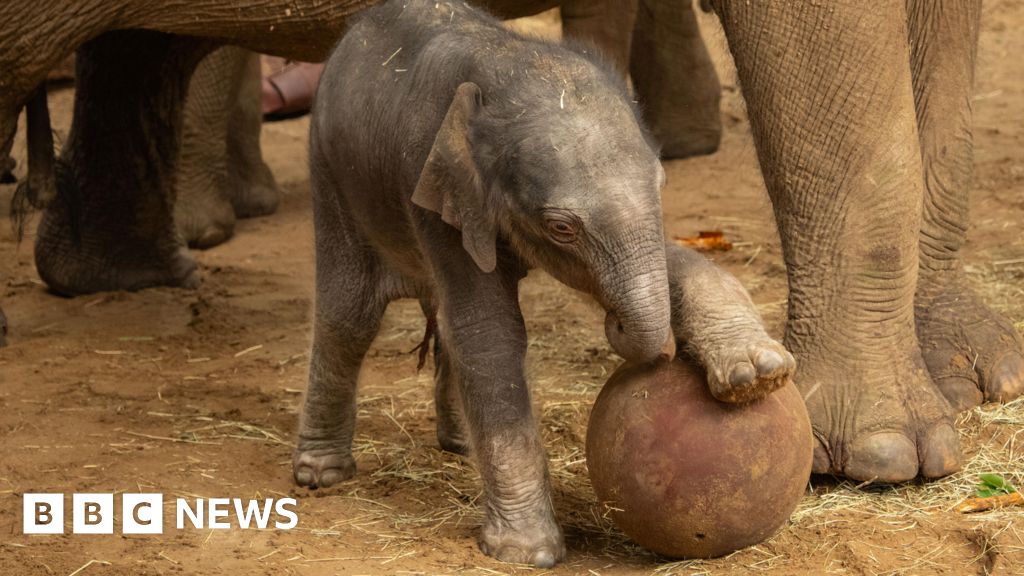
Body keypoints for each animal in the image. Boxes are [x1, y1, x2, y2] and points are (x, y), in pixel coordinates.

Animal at [295, 2, 794, 566]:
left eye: (663, 185)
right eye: (560, 227)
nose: (656, 349)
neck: (509, 63)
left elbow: (671, 259)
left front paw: (760, 374)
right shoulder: (431, 179)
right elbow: (487, 330)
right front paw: (526, 553)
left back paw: (459, 446)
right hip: (330, 172)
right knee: (349, 316)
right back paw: (321, 475)